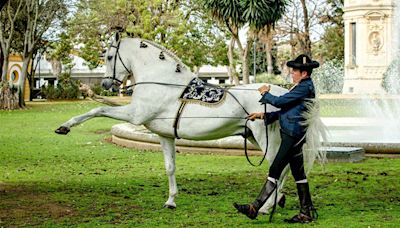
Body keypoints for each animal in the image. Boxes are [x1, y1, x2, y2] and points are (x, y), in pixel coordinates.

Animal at [56, 33, 324, 213]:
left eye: (110, 56)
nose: (106, 84)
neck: (160, 81)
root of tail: (284, 93)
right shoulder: (164, 135)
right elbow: (170, 167)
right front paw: (171, 201)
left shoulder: (135, 115)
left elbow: (98, 109)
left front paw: (65, 126)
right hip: (256, 138)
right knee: (284, 167)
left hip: (267, 138)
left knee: (279, 168)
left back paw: (267, 207)